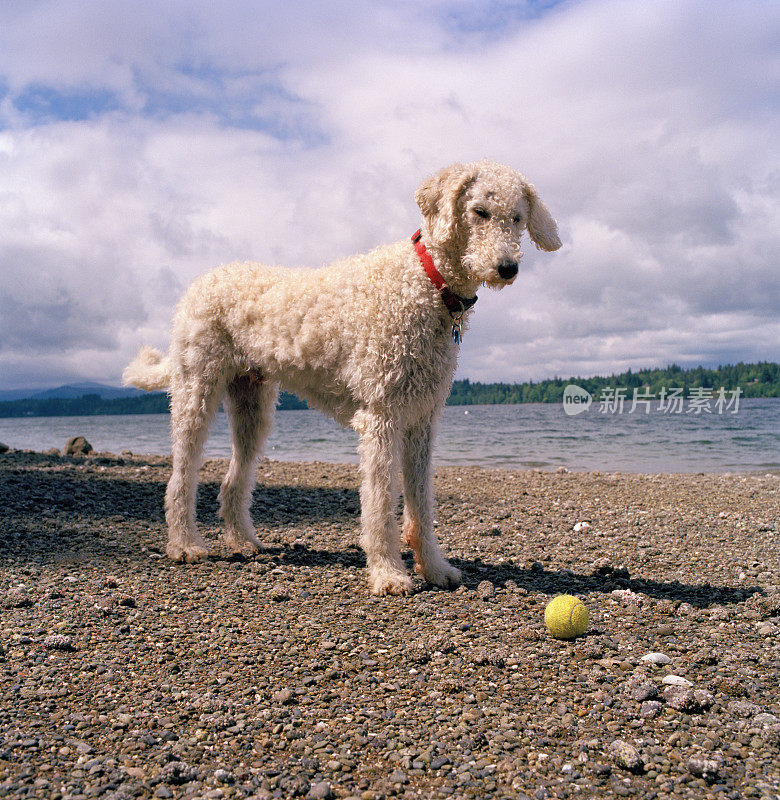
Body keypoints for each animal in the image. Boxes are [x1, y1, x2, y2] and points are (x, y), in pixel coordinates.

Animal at [123, 161, 560, 592]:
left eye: (517, 218)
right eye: (479, 212)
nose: (507, 268)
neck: (425, 282)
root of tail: (200, 283)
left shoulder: (421, 418)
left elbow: (421, 504)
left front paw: (435, 569)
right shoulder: (381, 416)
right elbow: (380, 505)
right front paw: (388, 574)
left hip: (253, 404)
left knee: (233, 482)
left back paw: (243, 542)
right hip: (195, 390)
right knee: (180, 479)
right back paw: (185, 545)